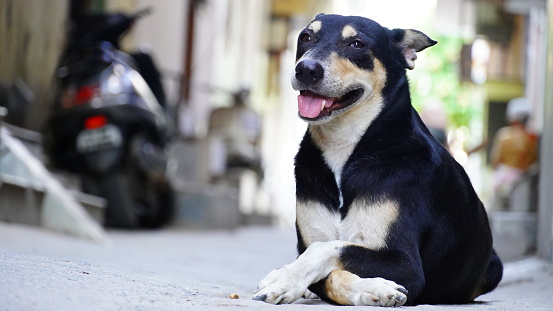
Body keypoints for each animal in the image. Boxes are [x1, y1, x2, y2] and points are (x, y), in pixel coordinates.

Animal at [252, 14, 502, 308]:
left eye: (356, 44)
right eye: (305, 37)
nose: (306, 69)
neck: (348, 148)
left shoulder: (406, 265)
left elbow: (329, 249)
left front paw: (284, 277)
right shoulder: (306, 243)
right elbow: (329, 270)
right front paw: (373, 288)